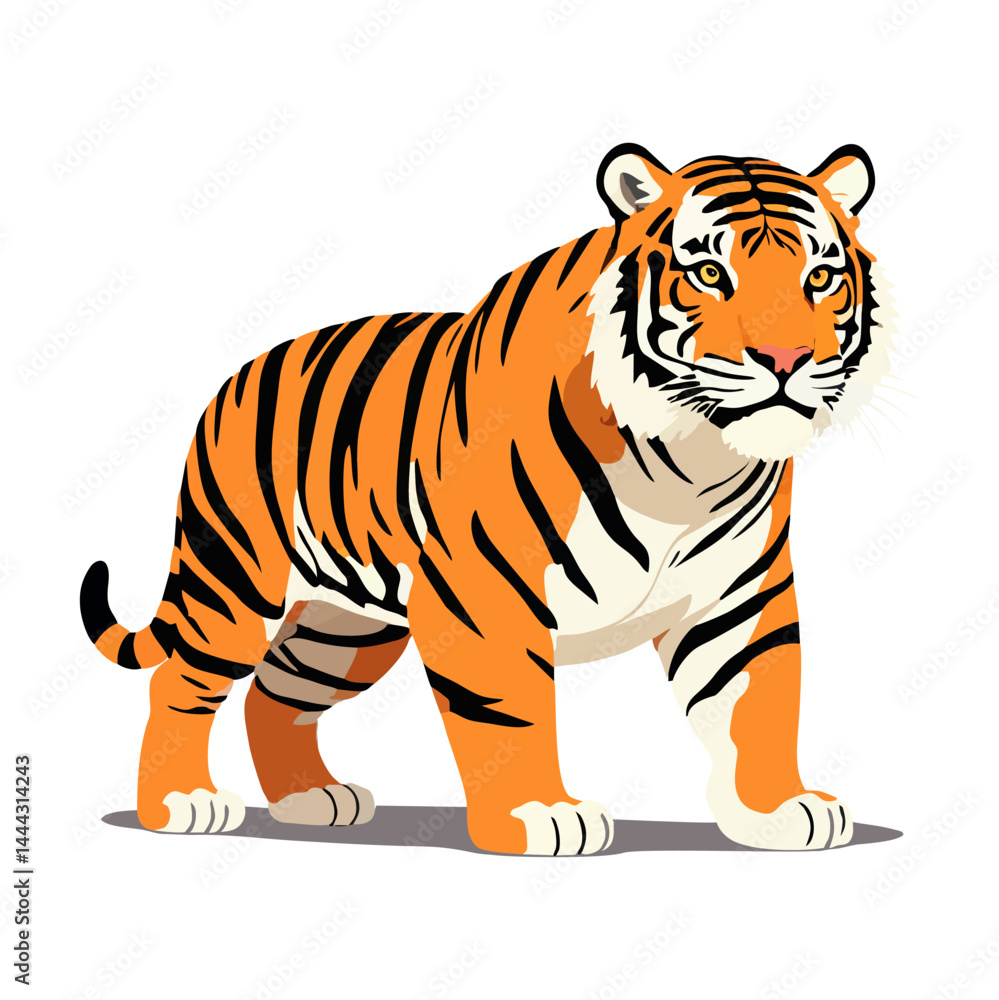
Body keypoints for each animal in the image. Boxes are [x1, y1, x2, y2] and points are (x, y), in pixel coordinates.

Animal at [80, 141, 893, 855]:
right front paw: (538, 817)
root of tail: (233, 376)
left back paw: (310, 799)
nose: (787, 359)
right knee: (182, 682)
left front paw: (777, 811)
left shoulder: (740, 595)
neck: (685, 466)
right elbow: (511, 714)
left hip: (349, 627)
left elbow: (756, 700)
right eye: (709, 273)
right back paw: (179, 803)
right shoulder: (484, 594)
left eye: (821, 277)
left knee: (277, 691)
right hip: (234, 583)